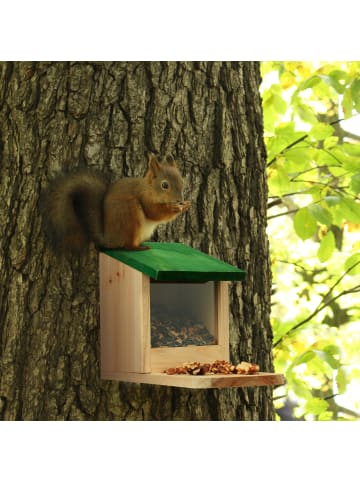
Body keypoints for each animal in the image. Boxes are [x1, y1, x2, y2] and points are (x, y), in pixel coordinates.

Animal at [45, 153, 190, 252]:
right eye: (165, 185)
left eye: (182, 181)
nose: (180, 200)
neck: (149, 189)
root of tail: (109, 239)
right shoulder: (144, 198)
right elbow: (153, 212)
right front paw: (175, 209)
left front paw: (186, 205)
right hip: (129, 213)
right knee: (127, 245)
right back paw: (138, 248)